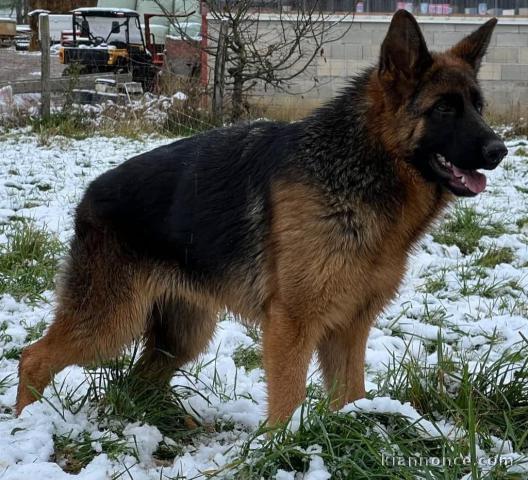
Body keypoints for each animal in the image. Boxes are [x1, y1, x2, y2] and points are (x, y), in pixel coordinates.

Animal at [16, 12, 508, 424]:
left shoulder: (349, 329)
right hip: (109, 321)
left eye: (479, 106)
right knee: (32, 358)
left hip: (182, 335)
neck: (364, 168)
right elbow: (287, 400)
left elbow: (350, 395)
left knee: (140, 379)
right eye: (443, 108)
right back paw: (26, 423)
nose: (499, 150)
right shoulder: (291, 326)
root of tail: (89, 195)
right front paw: (278, 449)